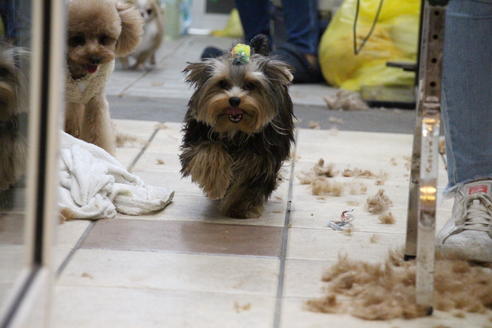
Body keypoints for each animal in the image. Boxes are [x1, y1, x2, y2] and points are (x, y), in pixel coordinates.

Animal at [65, 0, 142, 154]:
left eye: (104, 38)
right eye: (78, 39)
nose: (95, 59)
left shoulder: (95, 101)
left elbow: (98, 132)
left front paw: (100, 150)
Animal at [182, 35, 294, 218]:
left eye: (250, 85)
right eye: (222, 83)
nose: (234, 100)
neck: (235, 130)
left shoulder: (263, 158)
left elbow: (248, 181)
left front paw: (239, 206)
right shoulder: (199, 135)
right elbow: (208, 152)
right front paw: (215, 185)